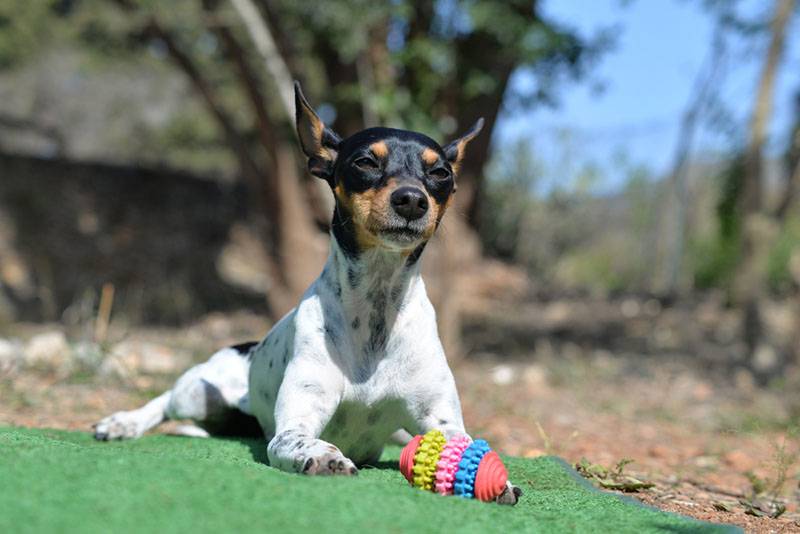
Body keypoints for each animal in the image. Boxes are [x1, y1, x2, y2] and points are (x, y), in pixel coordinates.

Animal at [94, 84, 520, 506]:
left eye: (440, 172)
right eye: (366, 161)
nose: (412, 200)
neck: (376, 311)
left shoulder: (440, 419)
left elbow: (464, 441)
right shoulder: (297, 420)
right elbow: (297, 439)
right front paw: (323, 455)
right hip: (199, 392)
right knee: (164, 399)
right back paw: (122, 423)